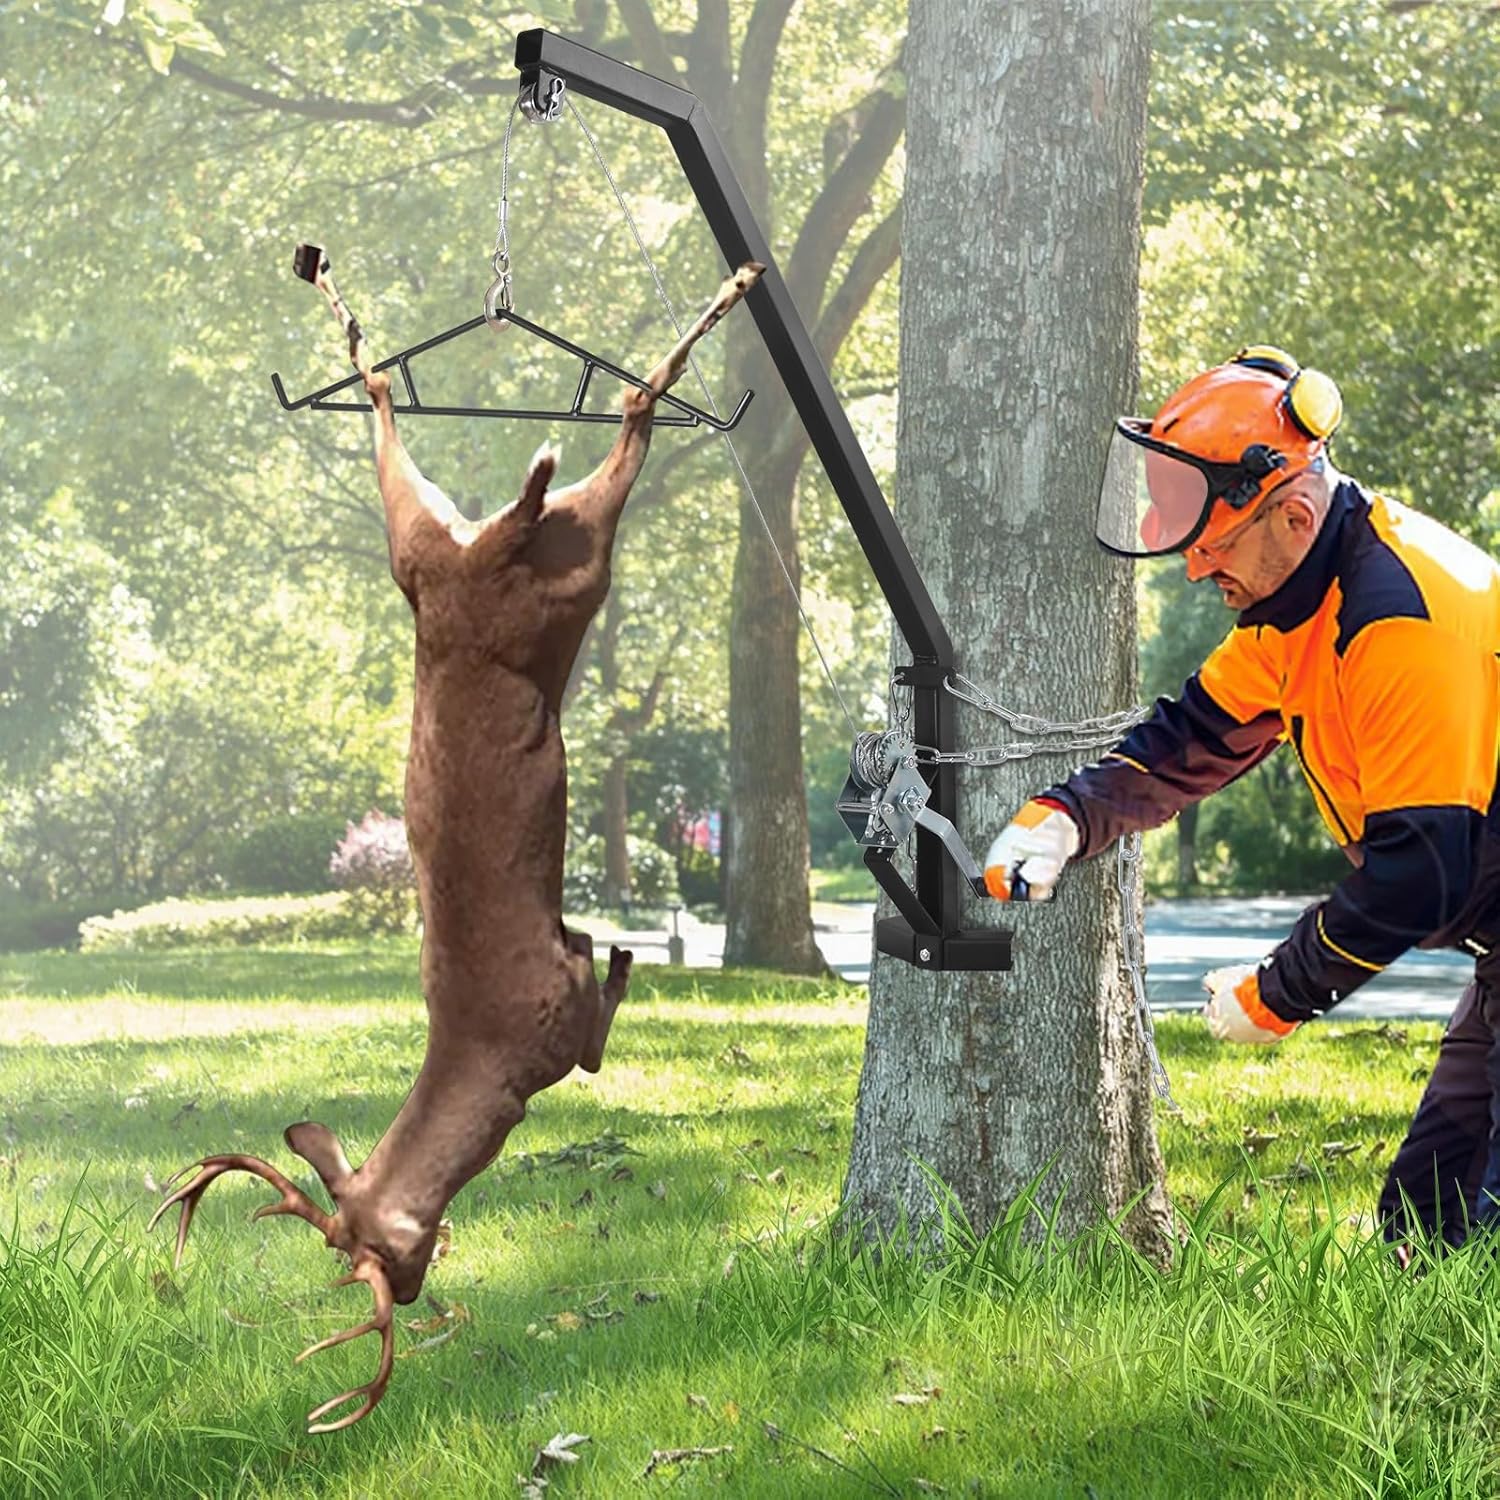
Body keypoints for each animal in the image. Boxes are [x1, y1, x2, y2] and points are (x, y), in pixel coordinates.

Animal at [148, 247, 765, 1433]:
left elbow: (603, 1022)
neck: (487, 1068)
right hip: (452, 547)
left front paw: (620, 947)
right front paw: (614, 940)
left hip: (543, 566)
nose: (415, 1277)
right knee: (429, 419)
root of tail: (482, 553)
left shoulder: (560, 1028)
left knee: (622, 421)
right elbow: (600, 994)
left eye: (363, 1255)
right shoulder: (558, 1025)